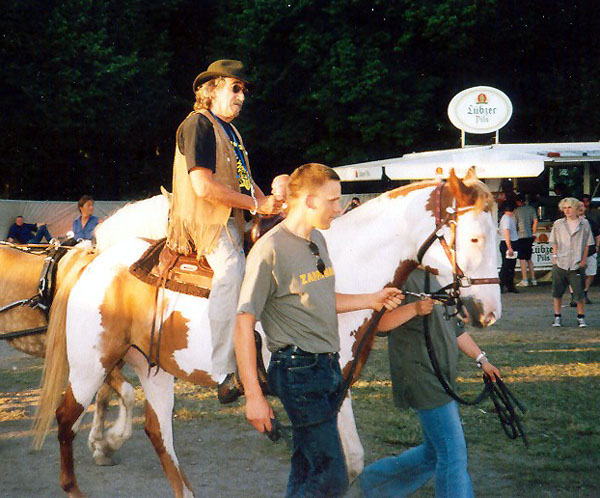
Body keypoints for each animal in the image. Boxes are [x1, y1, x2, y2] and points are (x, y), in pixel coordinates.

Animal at [34, 167, 502, 494]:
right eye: (474, 239)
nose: (488, 313)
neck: (341, 266)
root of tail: (95, 257)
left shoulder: (337, 386)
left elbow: (350, 462)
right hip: (90, 364)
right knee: (65, 418)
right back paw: (78, 480)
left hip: (154, 368)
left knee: (157, 431)